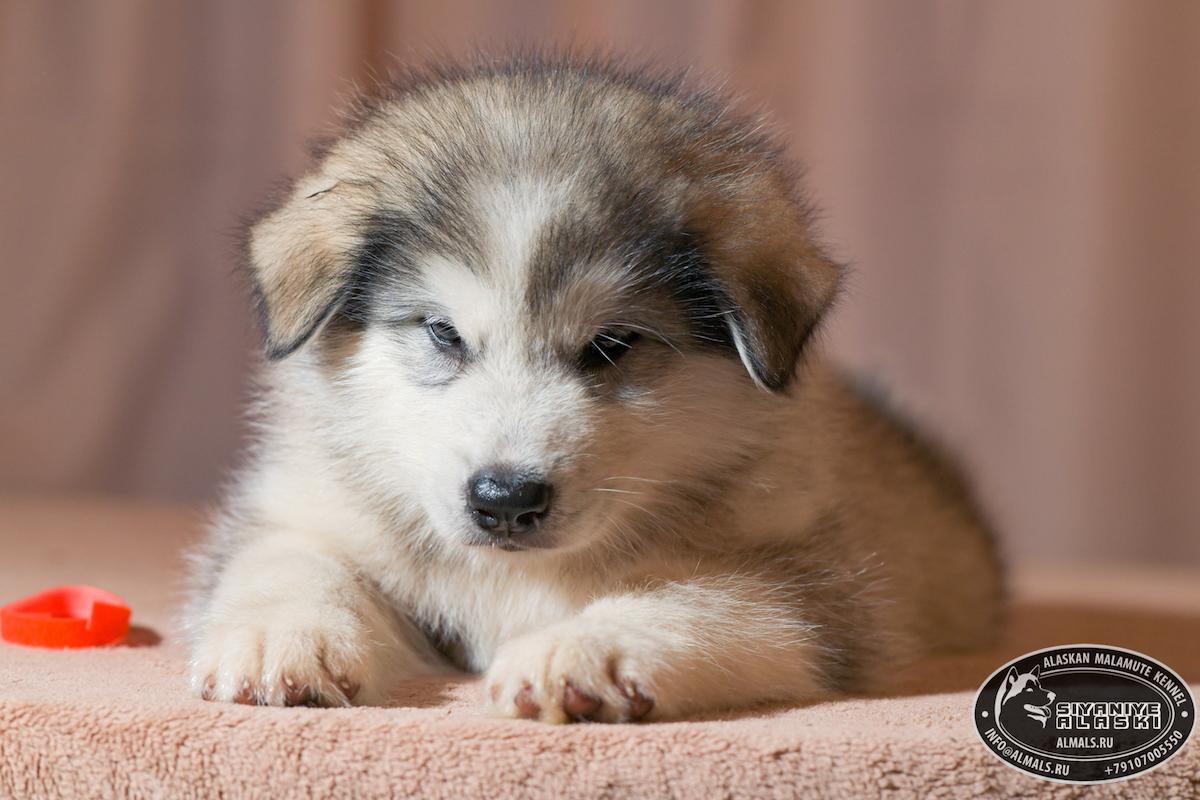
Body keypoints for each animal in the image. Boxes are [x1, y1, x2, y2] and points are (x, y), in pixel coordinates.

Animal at [192, 53, 1003, 724]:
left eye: (612, 345)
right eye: (443, 333)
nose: (505, 500)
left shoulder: (816, 588)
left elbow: (706, 600)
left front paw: (585, 650)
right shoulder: (305, 508)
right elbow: (290, 558)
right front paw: (282, 635)